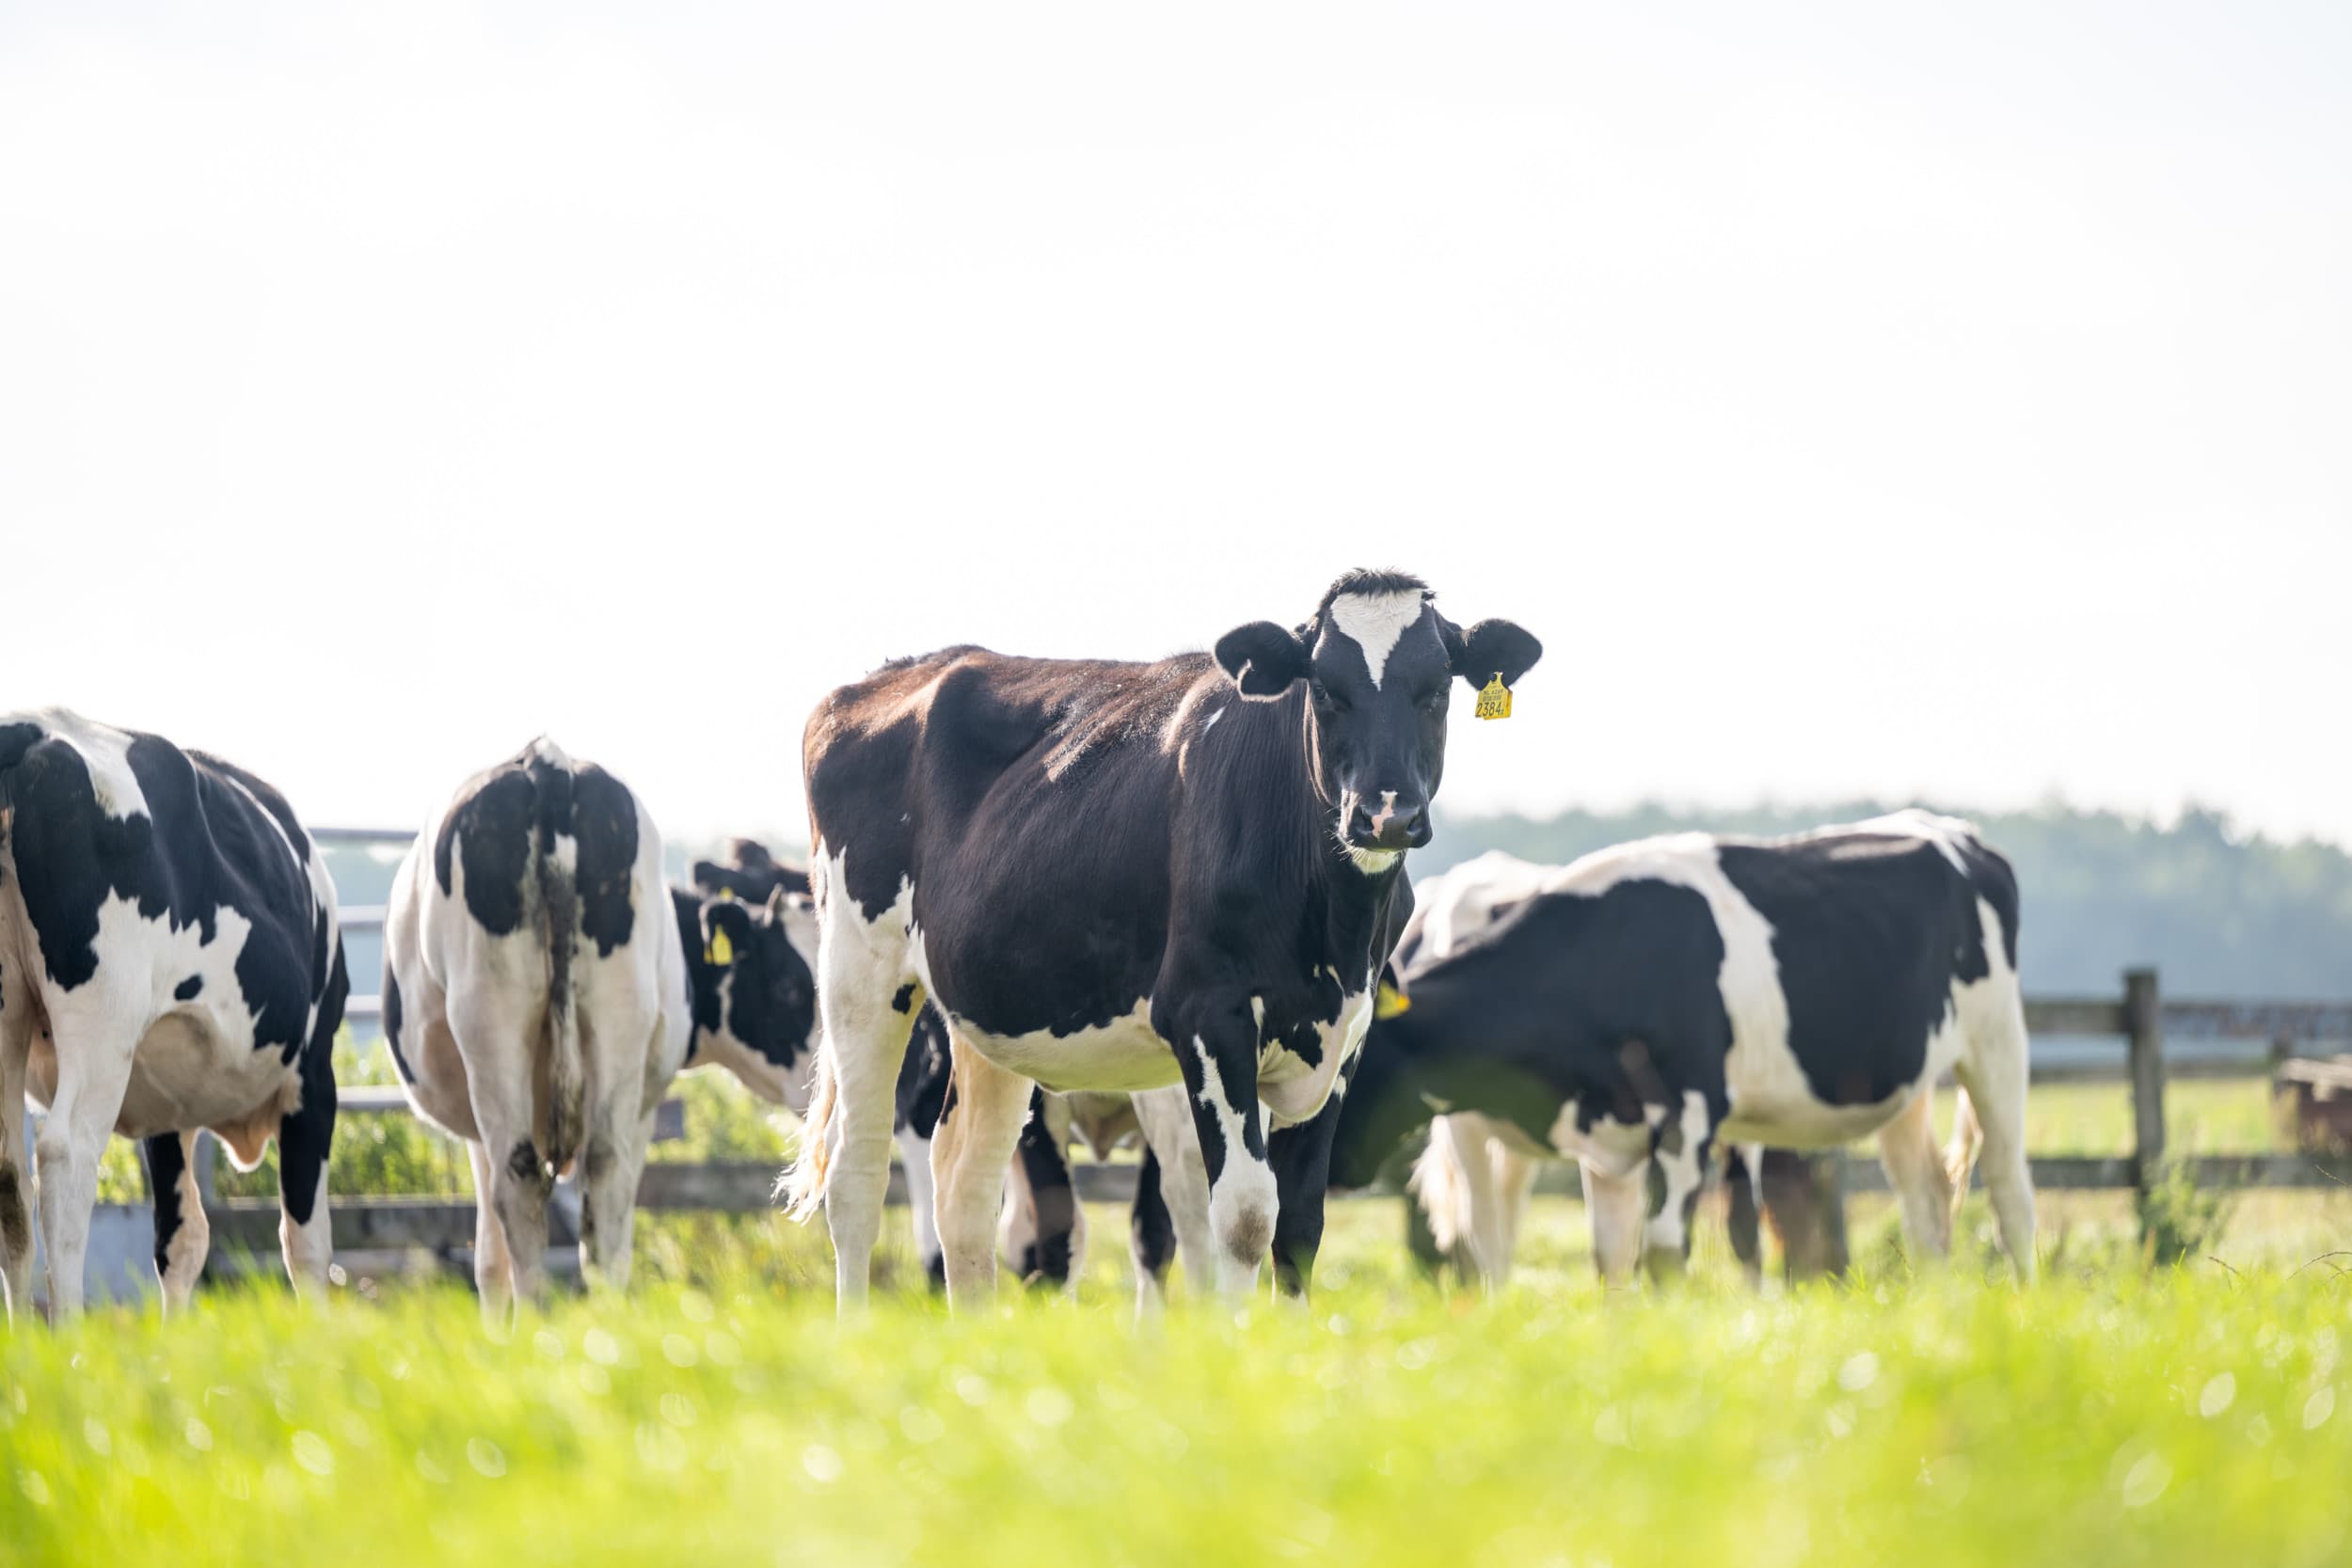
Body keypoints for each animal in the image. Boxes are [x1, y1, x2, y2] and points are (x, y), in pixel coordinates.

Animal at [0, 709, 348, 1319]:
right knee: (66, 1158)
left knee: (9, 1183)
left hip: (9, 1017)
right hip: (104, 1023)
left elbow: (181, 1241)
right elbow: (307, 1242)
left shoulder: (167, 1107)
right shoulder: (314, 1074)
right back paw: (66, 1333)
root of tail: (29, 730)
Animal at [382, 739, 810, 1320]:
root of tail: (546, 761)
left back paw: (540, 1323)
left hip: (498, 1026)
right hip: (610, 1021)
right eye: (790, 985)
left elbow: (492, 1258)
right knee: (598, 1179)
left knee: (530, 1185)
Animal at [783, 568, 1540, 1310]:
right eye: (1325, 689)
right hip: (860, 972)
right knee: (855, 1177)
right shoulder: (1209, 1019)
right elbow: (1242, 1216)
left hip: (987, 1013)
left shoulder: (1343, 1036)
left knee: (965, 1183)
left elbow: (1298, 1223)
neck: (1335, 928)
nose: (1386, 815)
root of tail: (902, 672)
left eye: (1438, 688)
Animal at [1329, 812, 2037, 1282]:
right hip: (1906, 1086)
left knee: (2010, 1194)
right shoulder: (1606, 1139)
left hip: (1996, 1045)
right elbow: (1611, 1258)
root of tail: (1945, 828)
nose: (1325, 1166)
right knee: (1927, 1200)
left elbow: (1669, 1252)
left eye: (1354, 1052)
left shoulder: (1689, 1116)